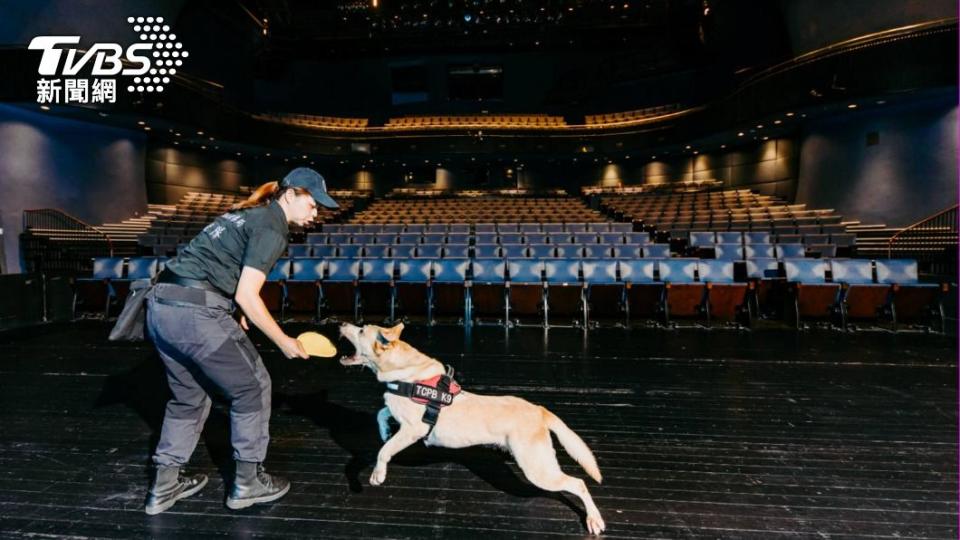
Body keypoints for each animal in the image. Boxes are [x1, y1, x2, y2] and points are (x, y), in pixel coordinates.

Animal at [340, 322, 608, 532]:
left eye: (361, 329)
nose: (341, 323)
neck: (406, 375)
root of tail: (539, 410)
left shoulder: (413, 429)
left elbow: (383, 451)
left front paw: (377, 474)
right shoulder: (397, 412)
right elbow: (381, 413)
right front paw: (384, 430)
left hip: (538, 470)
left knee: (579, 484)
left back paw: (594, 519)